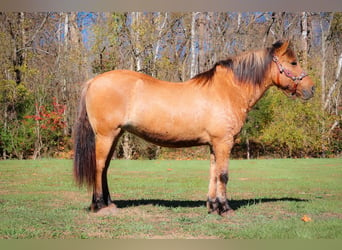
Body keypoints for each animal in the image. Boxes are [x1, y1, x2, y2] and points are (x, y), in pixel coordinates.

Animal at [73, 40, 314, 216]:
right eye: (293, 63)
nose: (311, 89)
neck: (228, 90)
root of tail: (93, 81)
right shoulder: (224, 142)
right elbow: (223, 175)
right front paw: (225, 209)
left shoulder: (215, 144)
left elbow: (213, 173)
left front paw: (213, 206)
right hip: (106, 135)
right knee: (99, 167)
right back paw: (99, 205)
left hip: (115, 135)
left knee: (105, 168)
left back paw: (109, 203)